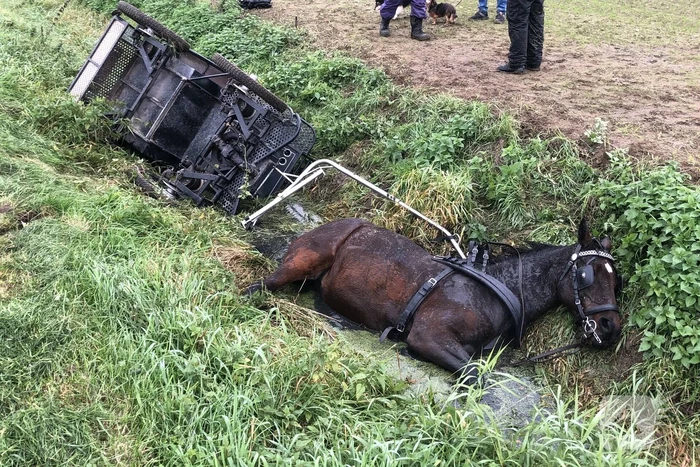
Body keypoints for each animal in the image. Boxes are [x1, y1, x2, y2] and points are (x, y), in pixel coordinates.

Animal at [245, 218, 622, 381]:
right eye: (587, 274)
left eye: (616, 280)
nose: (611, 326)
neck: (496, 290)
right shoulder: (429, 336)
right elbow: (475, 376)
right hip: (300, 263)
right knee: (260, 287)